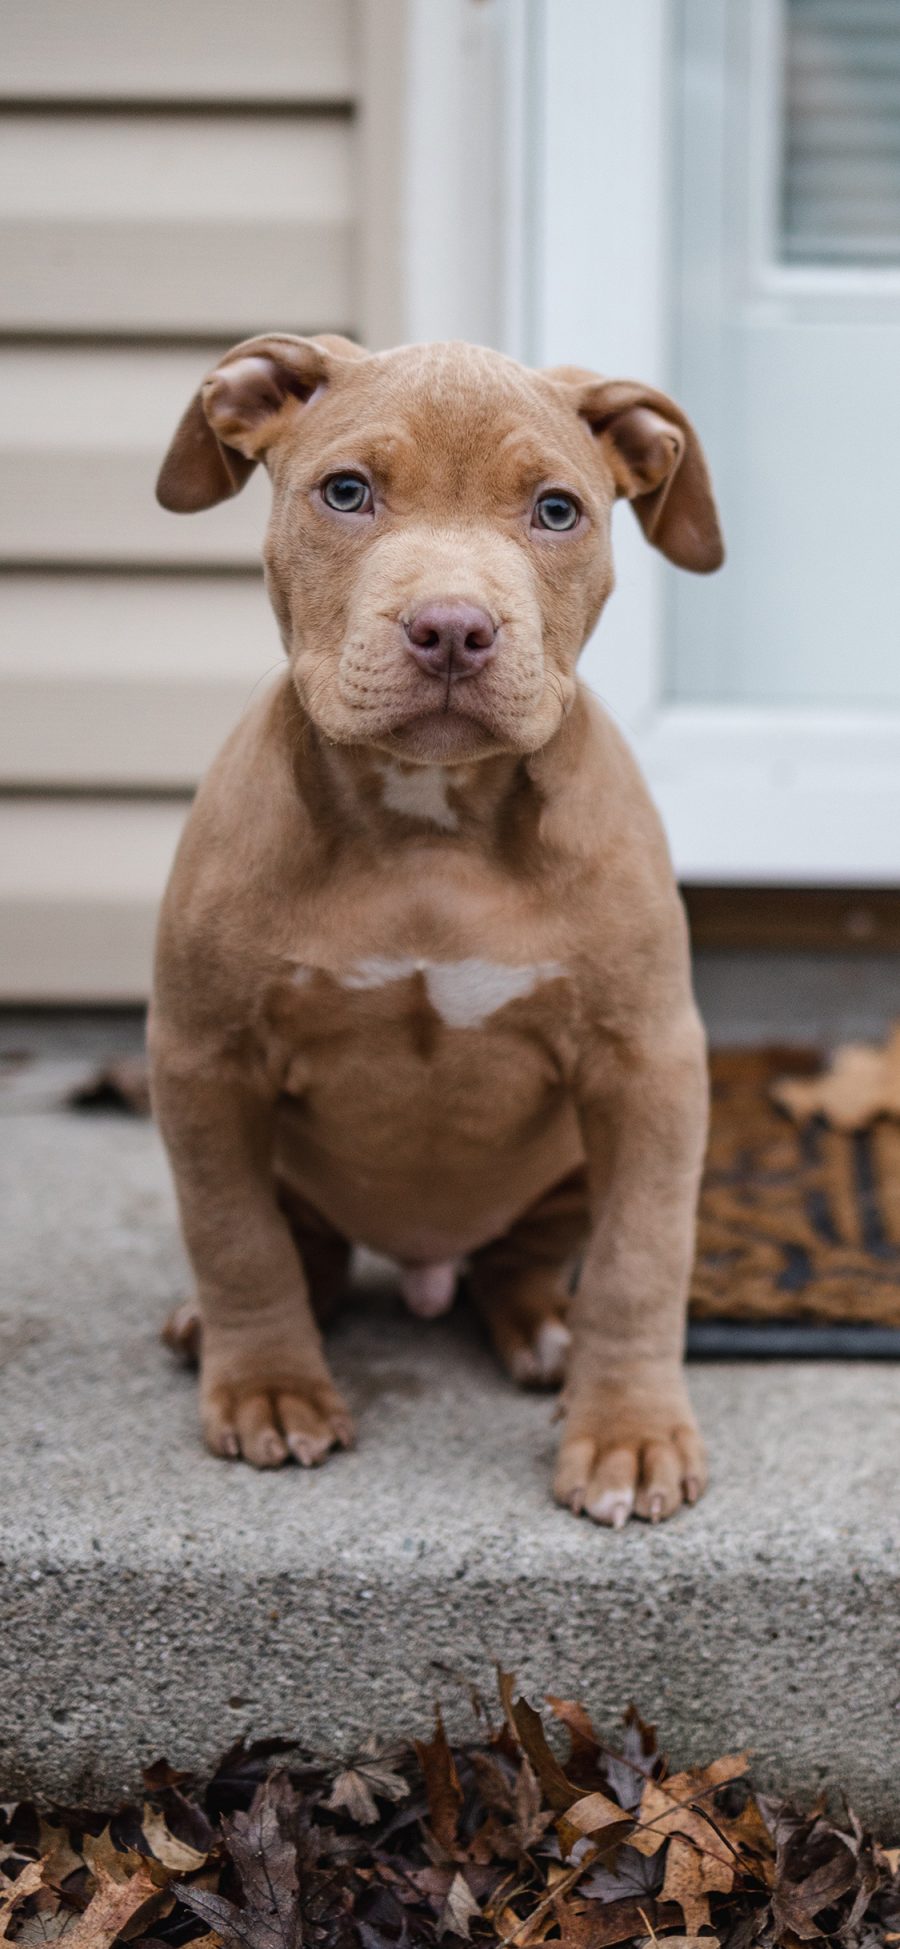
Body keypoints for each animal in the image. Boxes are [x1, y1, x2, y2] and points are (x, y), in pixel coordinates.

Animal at [149, 335, 724, 1520]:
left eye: (557, 510)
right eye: (346, 493)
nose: (453, 628)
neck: (430, 826)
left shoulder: (649, 1065)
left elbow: (643, 1259)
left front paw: (630, 1433)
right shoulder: (202, 1058)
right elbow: (234, 1237)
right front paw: (269, 1388)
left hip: (570, 1166)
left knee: (524, 1260)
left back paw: (548, 1331)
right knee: (300, 1244)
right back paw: (218, 1330)